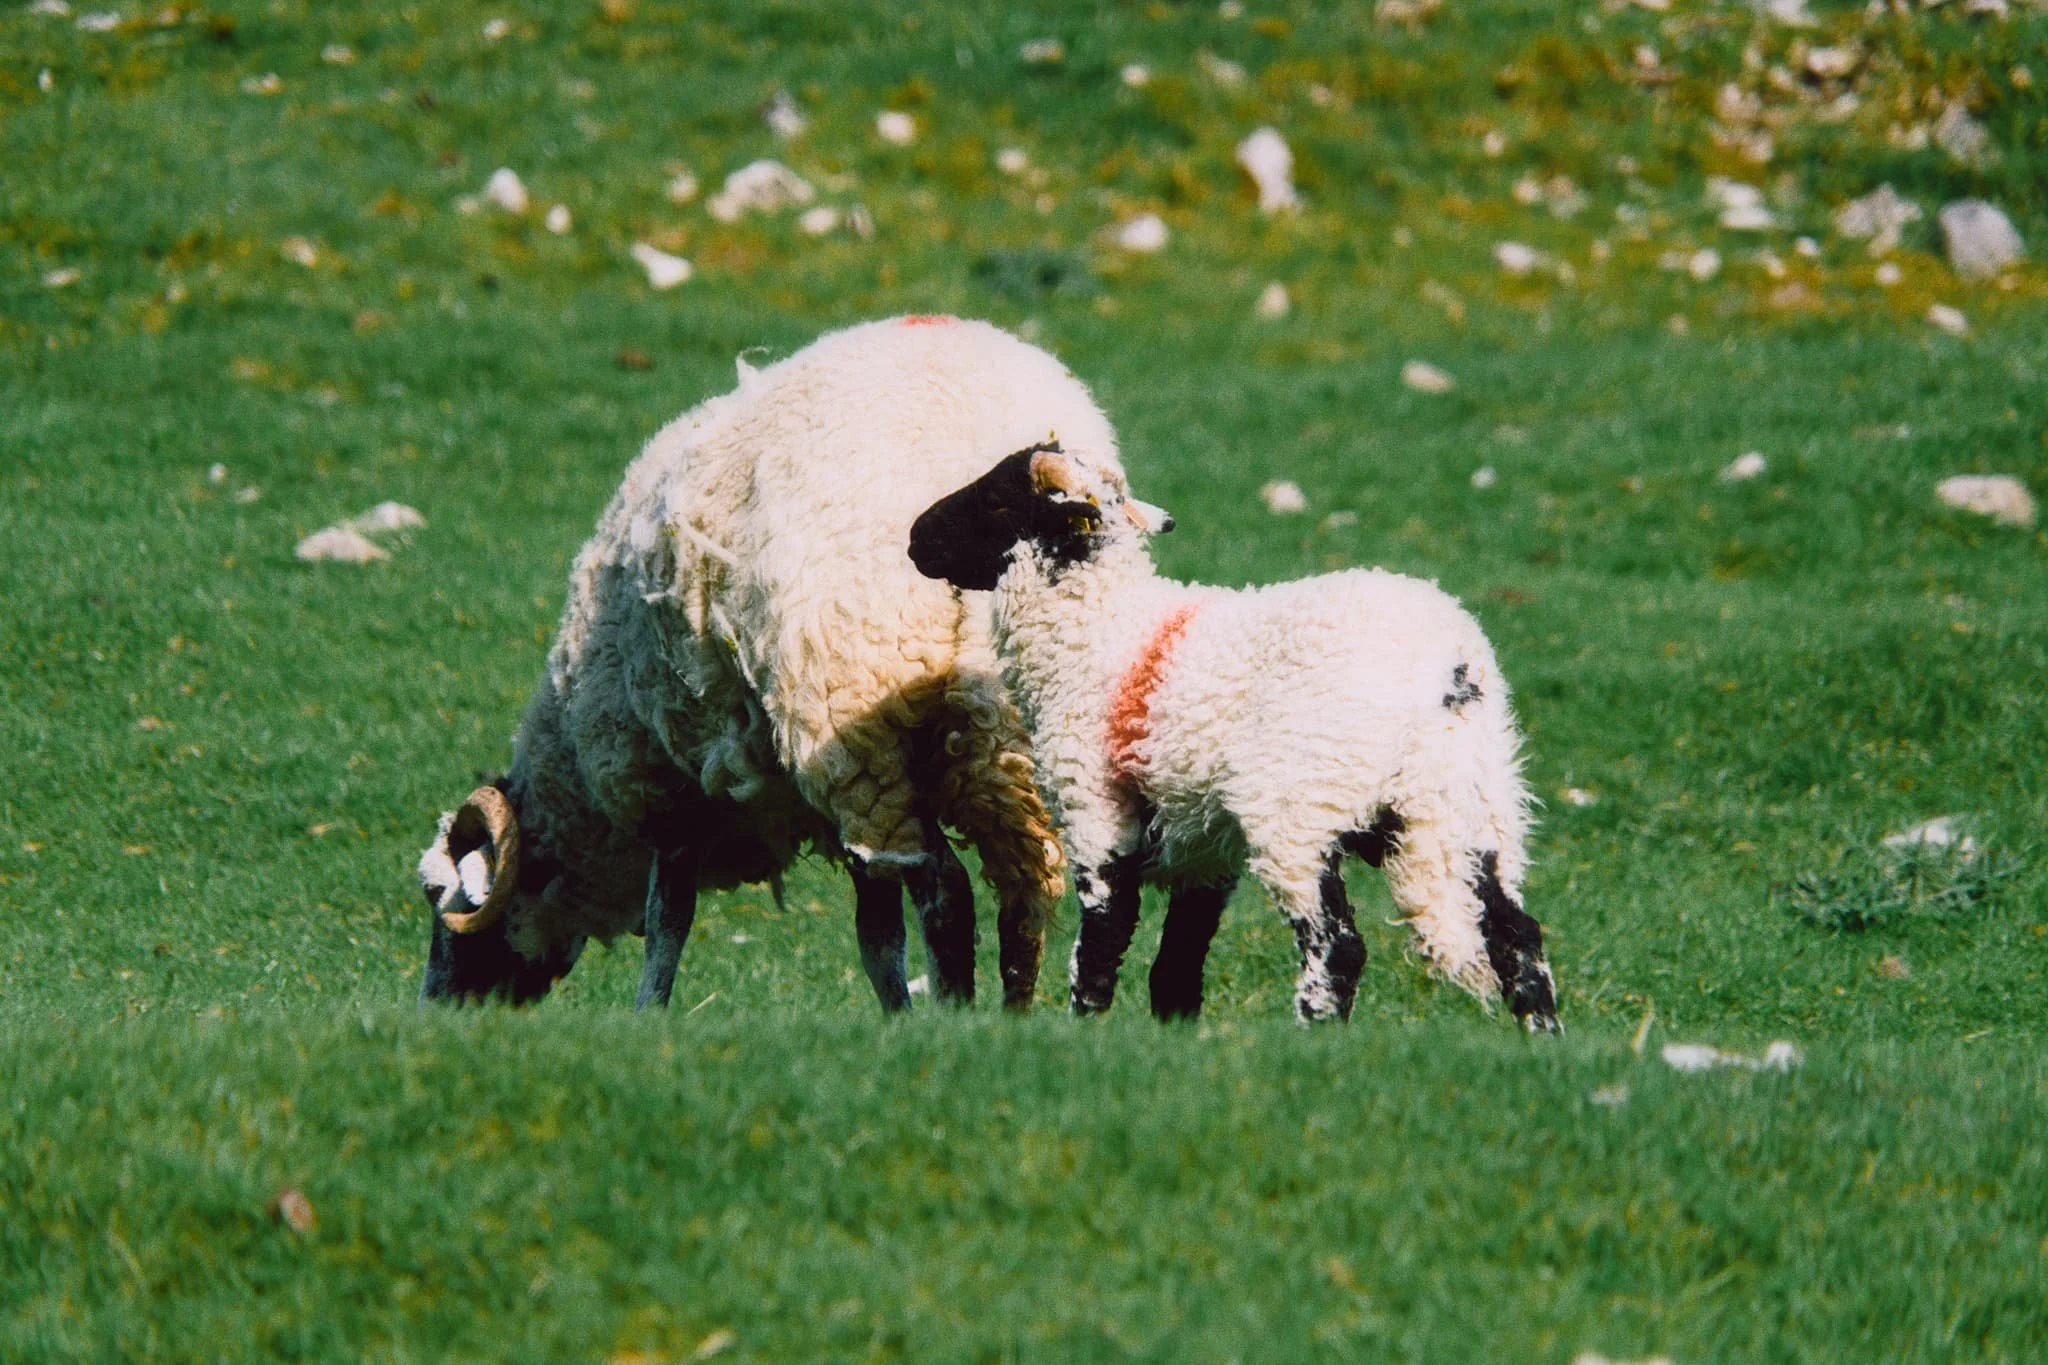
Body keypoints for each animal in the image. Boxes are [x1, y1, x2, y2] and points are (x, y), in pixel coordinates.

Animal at [417, 317, 1128, 1012]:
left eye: (439, 900)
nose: (433, 1008)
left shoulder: (669, 790)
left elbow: (669, 922)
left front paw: (649, 1013)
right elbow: (878, 940)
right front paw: (895, 1017)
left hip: (866, 743)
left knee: (946, 895)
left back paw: (954, 1017)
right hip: (1000, 744)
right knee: (1025, 895)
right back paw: (1011, 1018)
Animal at [908, 443, 1560, 1031]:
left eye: (996, 497)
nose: (915, 538)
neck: (1100, 632)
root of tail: (1450, 669)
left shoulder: (1097, 817)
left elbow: (1099, 949)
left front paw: (1083, 1033)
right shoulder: (1204, 846)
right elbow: (1175, 968)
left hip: (1301, 807)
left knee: (1337, 948)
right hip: (1471, 807)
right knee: (1518, 939)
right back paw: (1543, 1042)